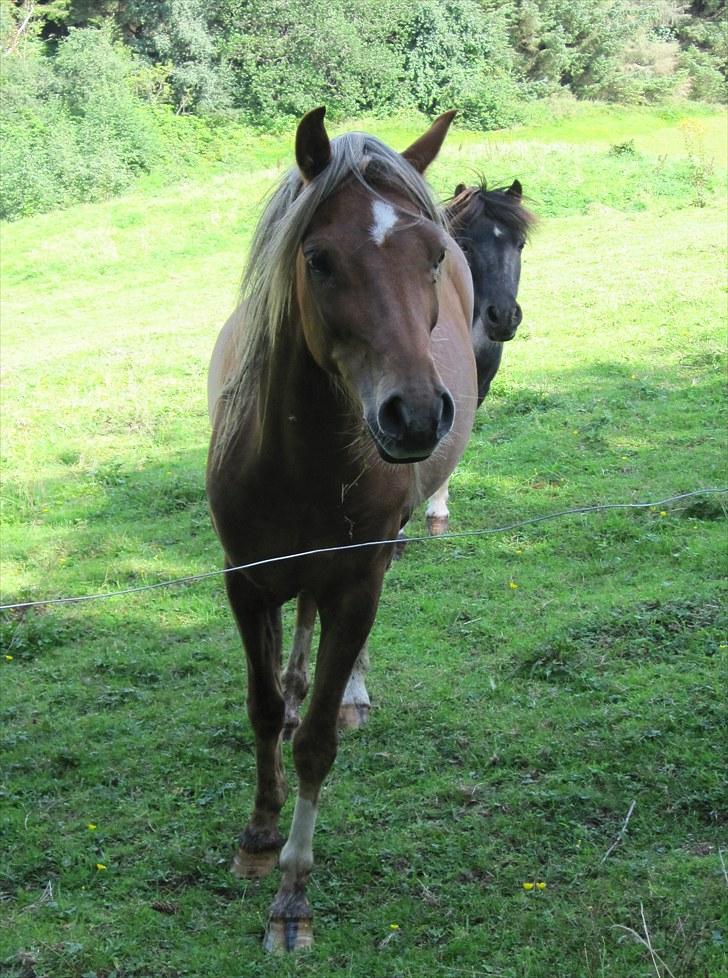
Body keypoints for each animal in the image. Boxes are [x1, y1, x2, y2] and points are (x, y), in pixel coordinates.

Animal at [206, 110, 478, 948]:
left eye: (432, 256)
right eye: (319, 259)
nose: (414, 414)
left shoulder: (357, 581)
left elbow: (316, 743)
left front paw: (293, 895)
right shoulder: (245, 583)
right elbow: (264, 709)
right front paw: (258, 837)